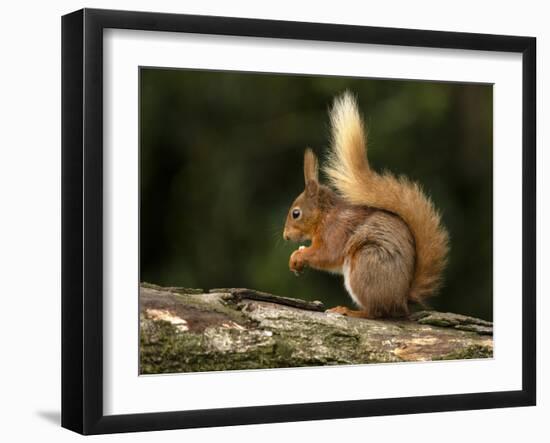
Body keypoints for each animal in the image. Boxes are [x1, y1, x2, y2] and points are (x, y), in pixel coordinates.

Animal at [286, 92, 450, 318]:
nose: (286, 237)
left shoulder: (336, 231)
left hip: (365, 264)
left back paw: (350, 311)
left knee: (375, 312)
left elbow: (326, 254)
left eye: (296, 213)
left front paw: (298, 255)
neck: (325, 216)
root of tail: (400, 301)